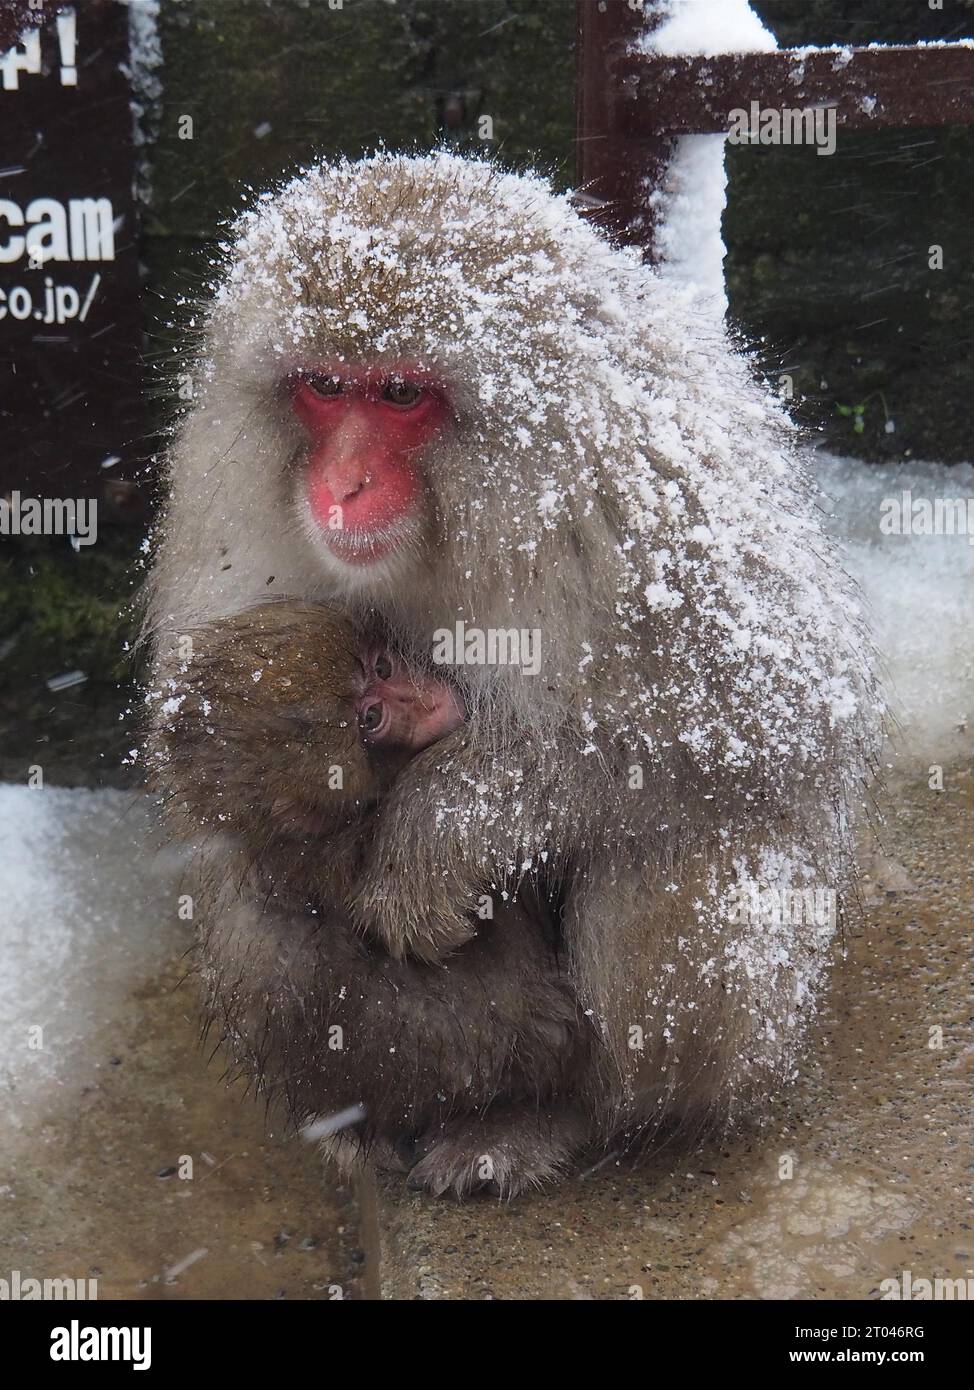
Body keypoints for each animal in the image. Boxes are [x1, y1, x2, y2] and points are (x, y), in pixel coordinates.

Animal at [146, 152, 883, 1195]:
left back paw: (569, 1120)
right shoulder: (227, 494)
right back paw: (377, 1122)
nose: (342, 488)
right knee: (255, 912)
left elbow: (752, 717)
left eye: (401, 395)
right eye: (325, 387)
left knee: (679, 870)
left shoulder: (638, 493)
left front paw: (442, 827)